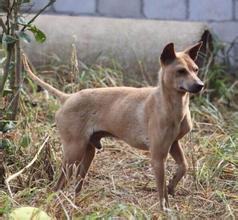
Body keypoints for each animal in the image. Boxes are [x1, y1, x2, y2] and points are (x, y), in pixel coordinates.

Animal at [23, 42, 204, 211]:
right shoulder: (158, 157)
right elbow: (161, 192)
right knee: (58, 186)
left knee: (76, 186)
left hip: (88, 154)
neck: (172, 105)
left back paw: (75, 206)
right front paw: (165, 209)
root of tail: (67, 97)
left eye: (196, 70)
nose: (200, 85)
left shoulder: (173, 144)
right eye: (181, 71)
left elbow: (184, 167)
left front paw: (172, 186)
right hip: (73, 154)